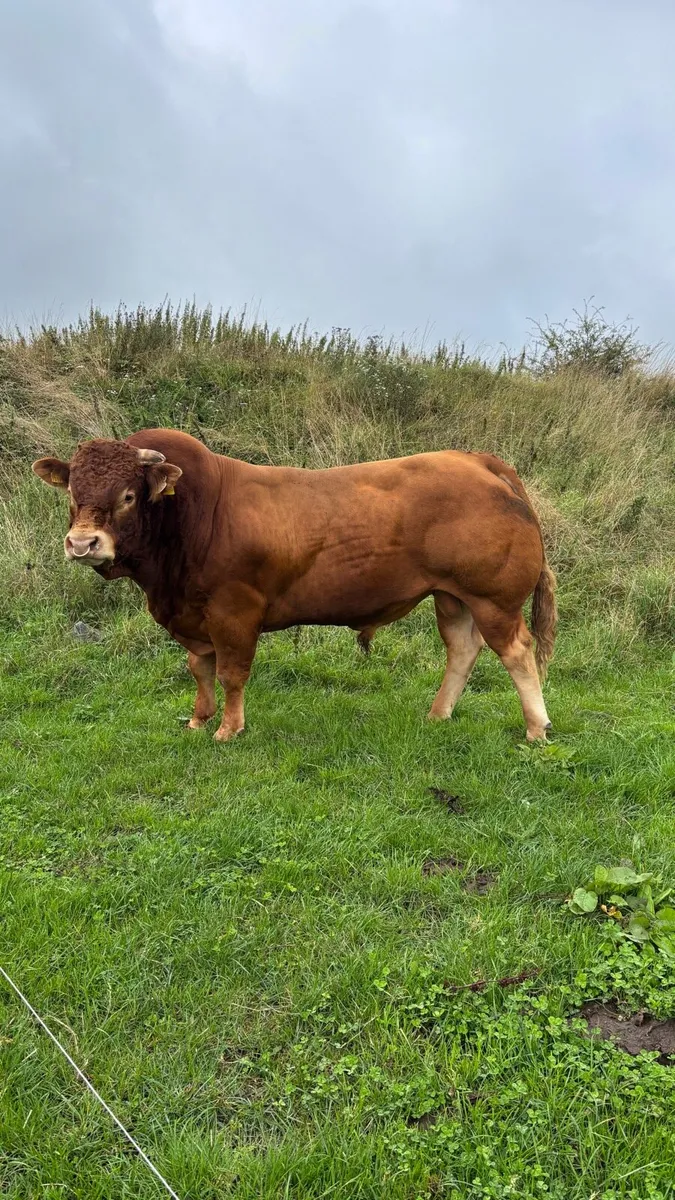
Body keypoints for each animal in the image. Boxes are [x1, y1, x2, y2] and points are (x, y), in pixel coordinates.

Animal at [33, 429, 557, 743]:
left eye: (127, 496)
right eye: (72, 492)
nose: (82, 543)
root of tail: (478, 461)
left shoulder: (233, 612)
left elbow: (231, 673)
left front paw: (228, 729)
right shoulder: (193, 615)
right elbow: (199, 669)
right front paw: (199, 718)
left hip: (493, 599)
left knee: (517, 652)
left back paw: (536, 728)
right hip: (452, 596)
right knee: (462, 649)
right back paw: (438, 714)